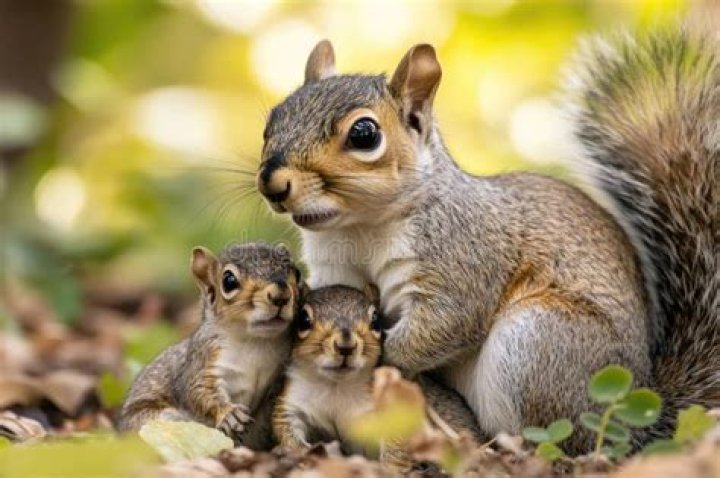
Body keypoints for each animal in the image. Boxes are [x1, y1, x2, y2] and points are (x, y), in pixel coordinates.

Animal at [118, 242, 302, 449]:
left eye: (297, 273)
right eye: (229, 281)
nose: (281, 296)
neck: (256, 342)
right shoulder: (205, 358)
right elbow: (198, 390)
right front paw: (228, 414)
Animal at [272, 284, 482, 467]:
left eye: (376, 321)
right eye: (303, 319)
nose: (345, 346)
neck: (337, 386)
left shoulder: (395, 408)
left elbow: (396, 447)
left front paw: (389, 469)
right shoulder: (293, 403)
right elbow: (285, 428)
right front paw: (300, 453)